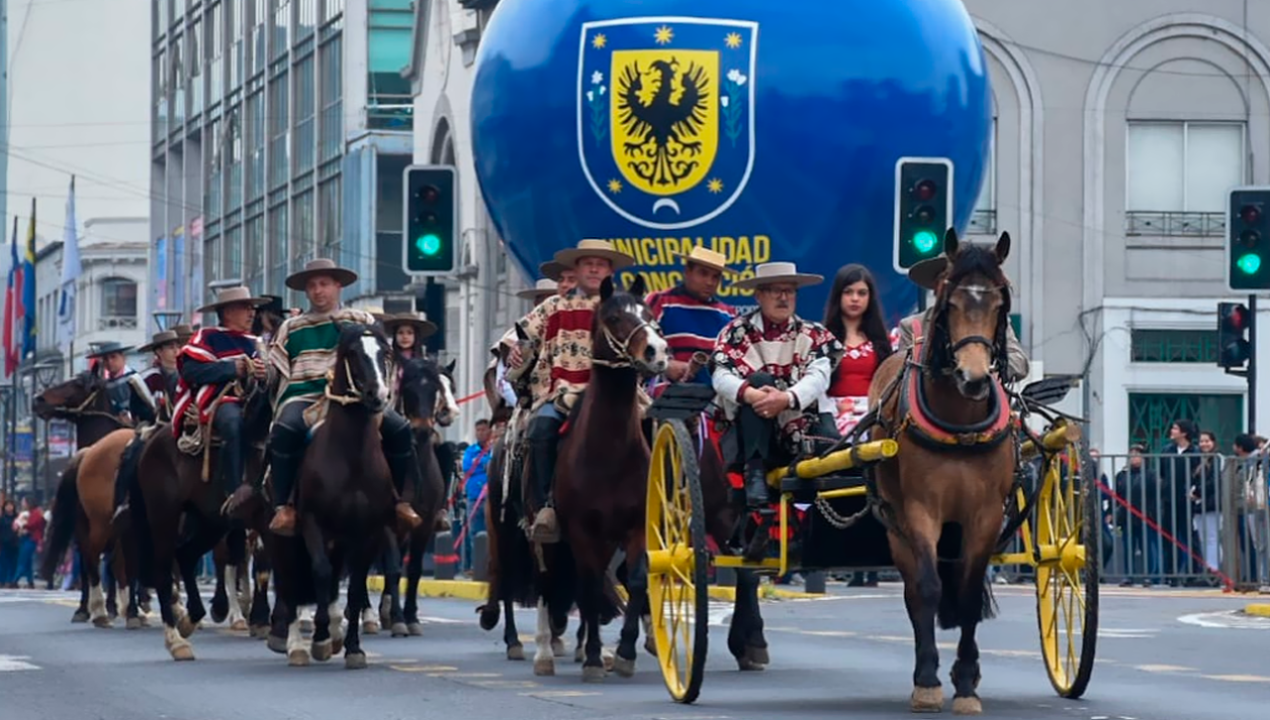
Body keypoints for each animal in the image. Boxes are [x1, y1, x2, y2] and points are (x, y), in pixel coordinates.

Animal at [271, 323, 396, 665]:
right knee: (289, 580)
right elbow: (321, 573)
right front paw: (320, 637)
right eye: (352, 353)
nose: (378, 395)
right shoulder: (312, 523)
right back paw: (292, 643)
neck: (351, 458)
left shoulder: (367, 532)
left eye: (386, 352)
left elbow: (354, 587)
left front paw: (352, 646)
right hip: (282, 536)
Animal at [868, 229, 1016, 716]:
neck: (959, 422)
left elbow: (968, 595)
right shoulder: (920, 510)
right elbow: (930, 589)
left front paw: (966, 683)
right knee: (915, 591)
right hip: (894, 524)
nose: (973, 378)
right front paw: (929, 682)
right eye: (950, 302)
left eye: (1001, 302)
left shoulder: (985, 515)